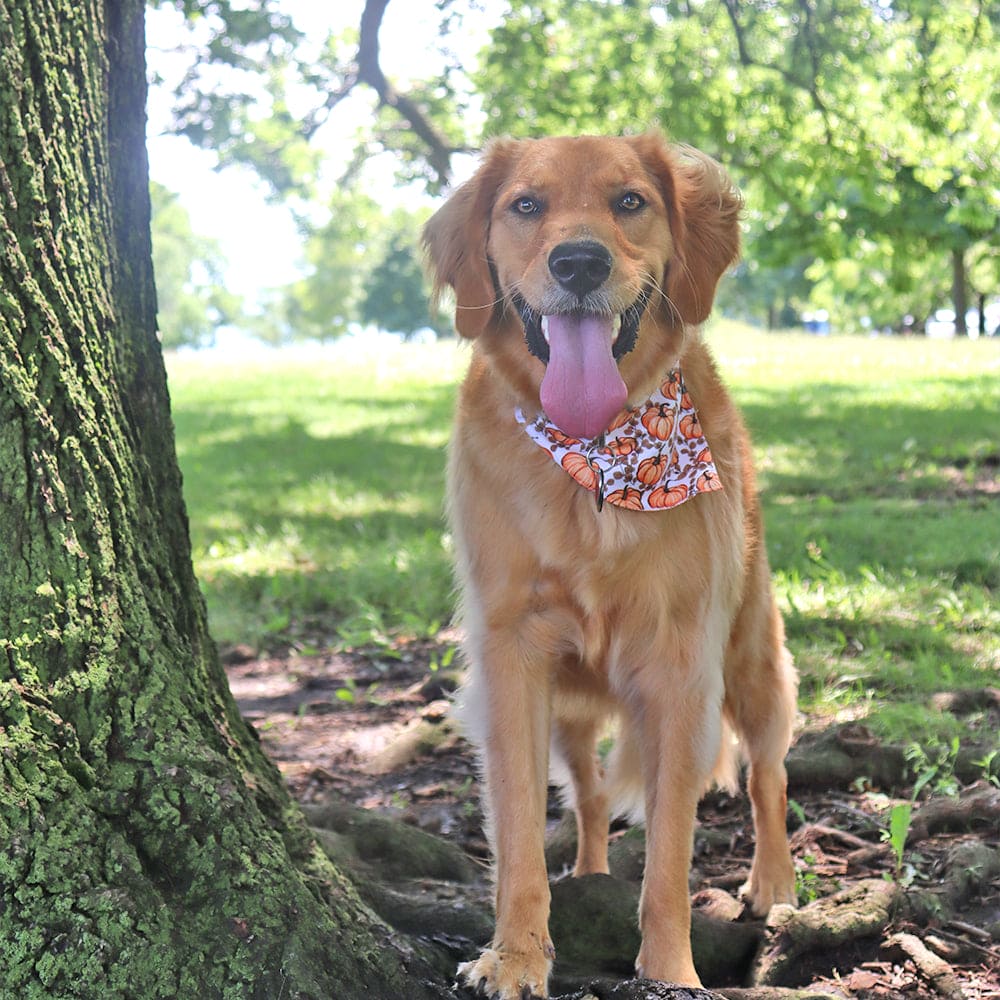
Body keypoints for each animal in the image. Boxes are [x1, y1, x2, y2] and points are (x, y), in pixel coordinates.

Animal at [422, 135, 796, 1000]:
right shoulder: (512, 658)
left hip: (751, 660)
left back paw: (775, 884)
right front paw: (516, 955)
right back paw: (589, 875)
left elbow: (668, 857)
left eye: (631, 201)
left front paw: (670, 974)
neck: (597, 453)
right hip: (569, 710)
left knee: (768, 775)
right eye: (526, 205)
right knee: (590, 800)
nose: (579, 262)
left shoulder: (681, 669)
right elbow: (521, 833)